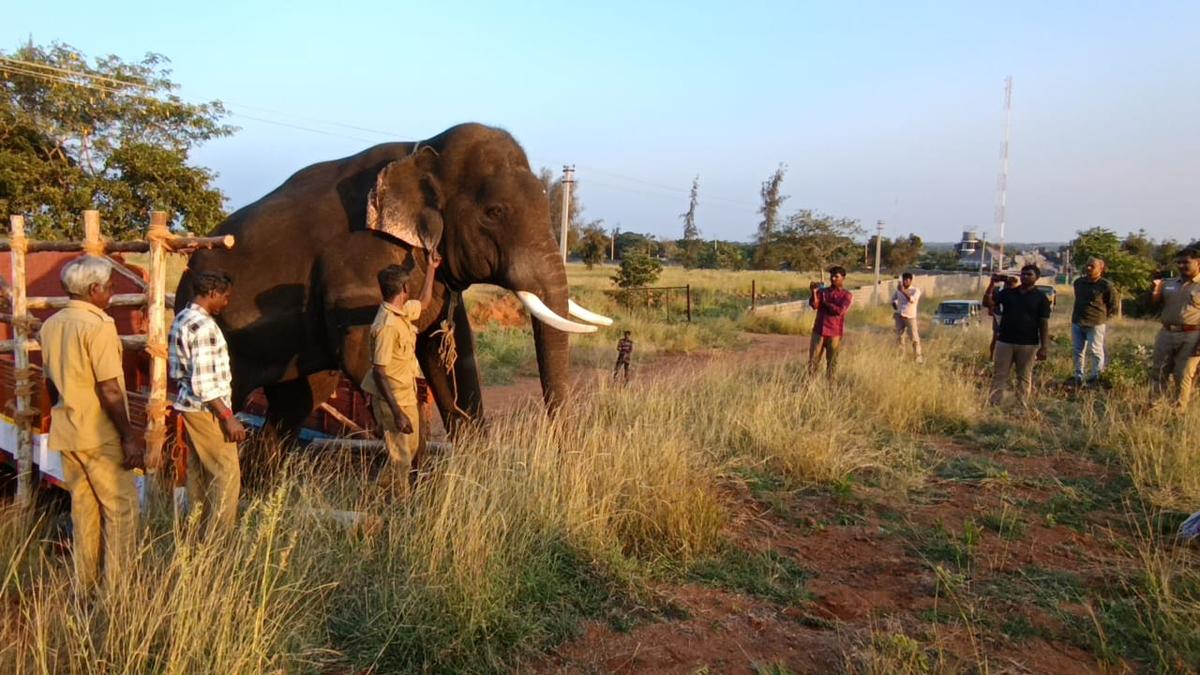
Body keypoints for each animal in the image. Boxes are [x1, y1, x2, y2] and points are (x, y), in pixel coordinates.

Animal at [176, 123, 609, 432]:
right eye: (494, 213)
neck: (424, 147)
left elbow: (451, 354)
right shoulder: (358, 263)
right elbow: (362, 357)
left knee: (297, 402)